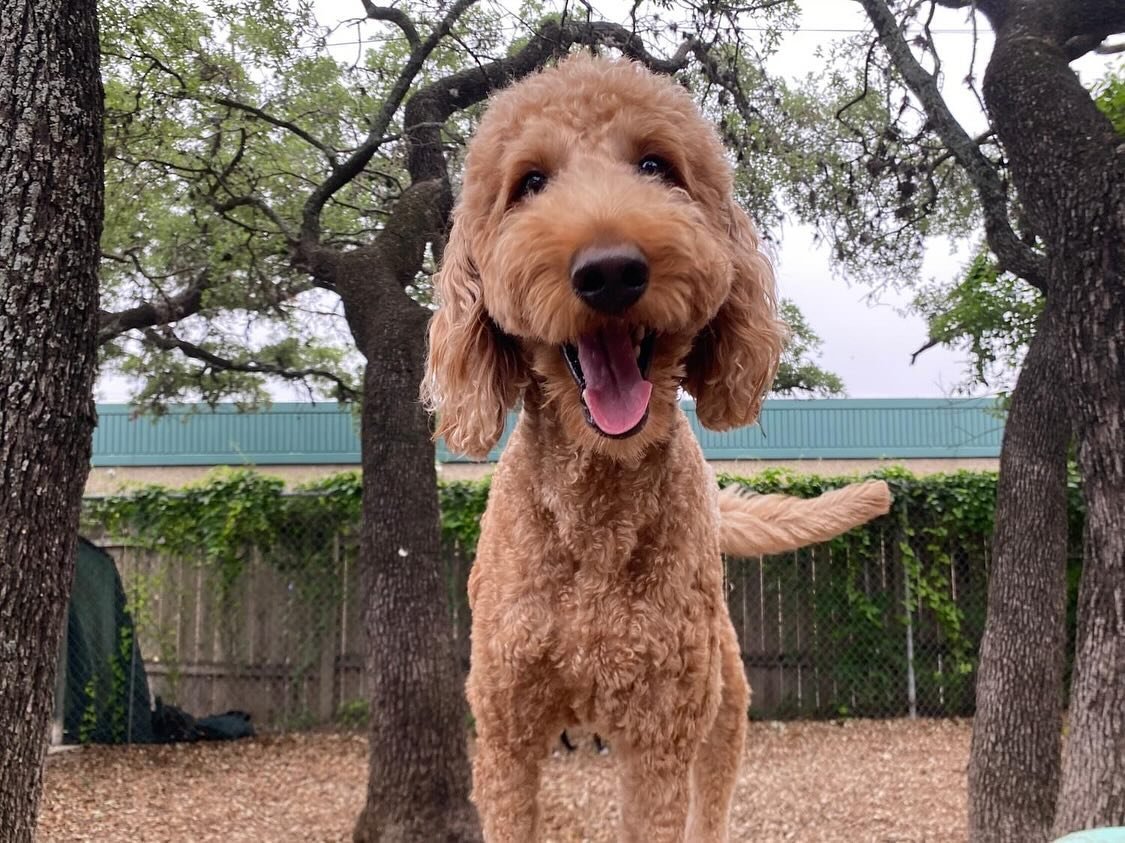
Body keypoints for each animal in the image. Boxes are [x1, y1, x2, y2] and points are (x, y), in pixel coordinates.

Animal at [425, 54, 891, 841]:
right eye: (530, 182)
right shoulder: (506, 731)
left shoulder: (659, 733)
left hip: (721, 707)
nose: (610, 270)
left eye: (655, 166)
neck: (594, 512)